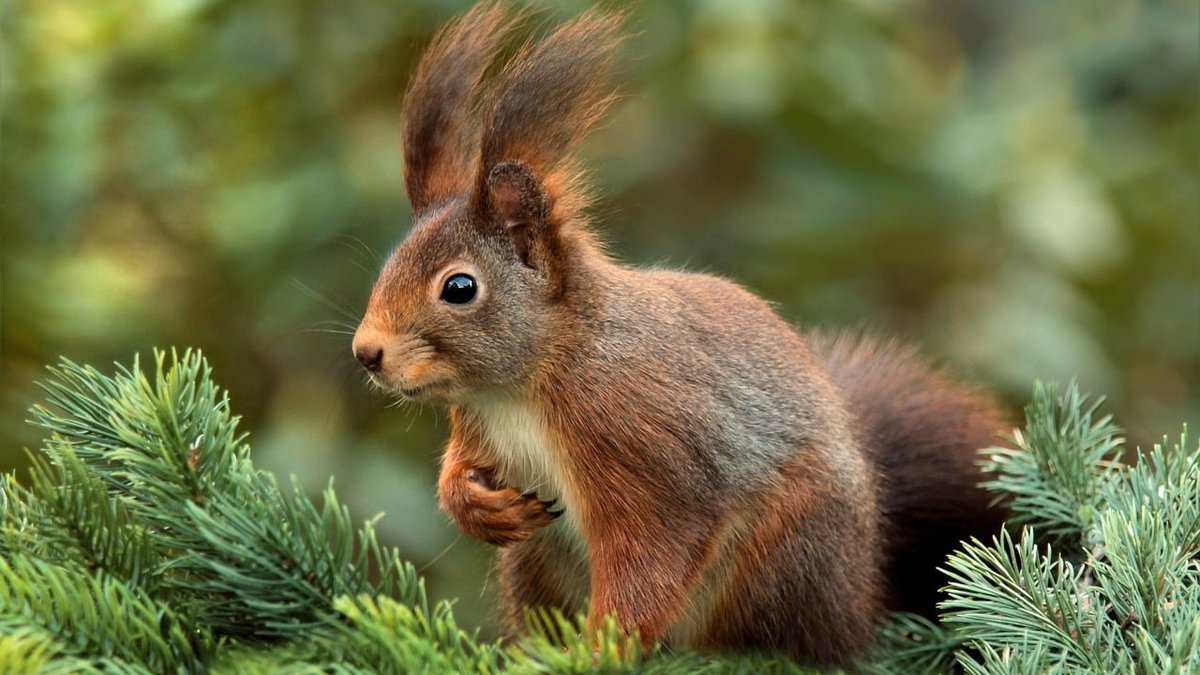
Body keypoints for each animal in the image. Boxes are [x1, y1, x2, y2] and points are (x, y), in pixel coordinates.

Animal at [351, 4, 1008, 668]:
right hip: (536, 561)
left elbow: (651, 556)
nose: (366, 353)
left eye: (459, 288)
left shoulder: (641, 445)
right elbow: (458, 470)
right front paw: (476, 506)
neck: (525, 384)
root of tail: (860, 595)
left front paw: (598, 652)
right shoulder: (478, 425)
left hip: (783, 552)